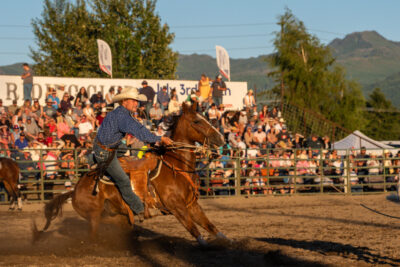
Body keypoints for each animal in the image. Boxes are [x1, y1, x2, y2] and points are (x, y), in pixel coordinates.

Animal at [37, 103, 228, 247]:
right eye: (197, 121)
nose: (221, 139)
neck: (176, 167)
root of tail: (75, 190)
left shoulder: (192, 205)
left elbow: (210, 226)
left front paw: (226, 241)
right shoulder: (177, 207)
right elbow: (194, 230)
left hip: (117, 216)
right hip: (95, 217)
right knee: (93, 236)